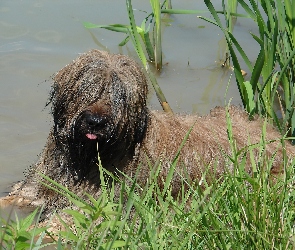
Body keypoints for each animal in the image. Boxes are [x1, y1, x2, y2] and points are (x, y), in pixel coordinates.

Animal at [0, 49, 295, 217]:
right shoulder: (42, 182)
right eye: (88, 89)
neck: (89, 157)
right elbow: (19, 196)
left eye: (120, 96)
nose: (96, 121)